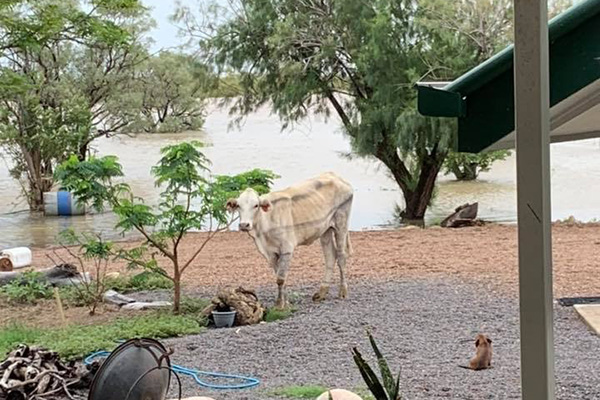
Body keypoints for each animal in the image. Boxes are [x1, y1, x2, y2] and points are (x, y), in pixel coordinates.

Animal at [229, 173, 352, 310]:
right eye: (238, 205)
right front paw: (286, 302)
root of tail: (333, 175)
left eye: (256, 205)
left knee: (341, 257)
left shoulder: (286, 249)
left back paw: (343, 292)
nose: (244, 225)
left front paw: (279, 304)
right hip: (325, 230)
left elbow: (280, 279)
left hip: (341, 223)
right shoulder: (269, 253)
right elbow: (279, 276)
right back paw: (321, 293)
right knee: (330, 256)